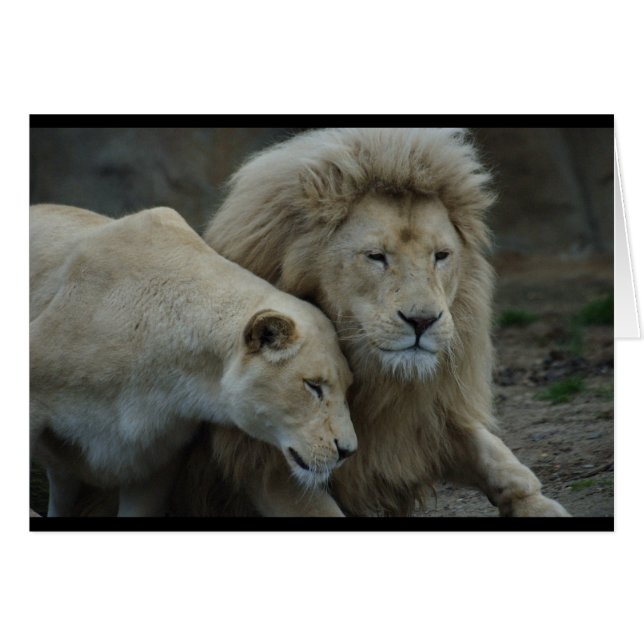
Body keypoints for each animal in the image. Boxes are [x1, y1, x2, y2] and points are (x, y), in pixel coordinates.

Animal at [177, 127, 569, 517]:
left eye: (441, 256)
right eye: (376, 257)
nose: (422, 321)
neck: (378, 383)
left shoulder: (428, 422)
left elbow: (502, 461)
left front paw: (538, 505)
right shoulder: (265, 465)